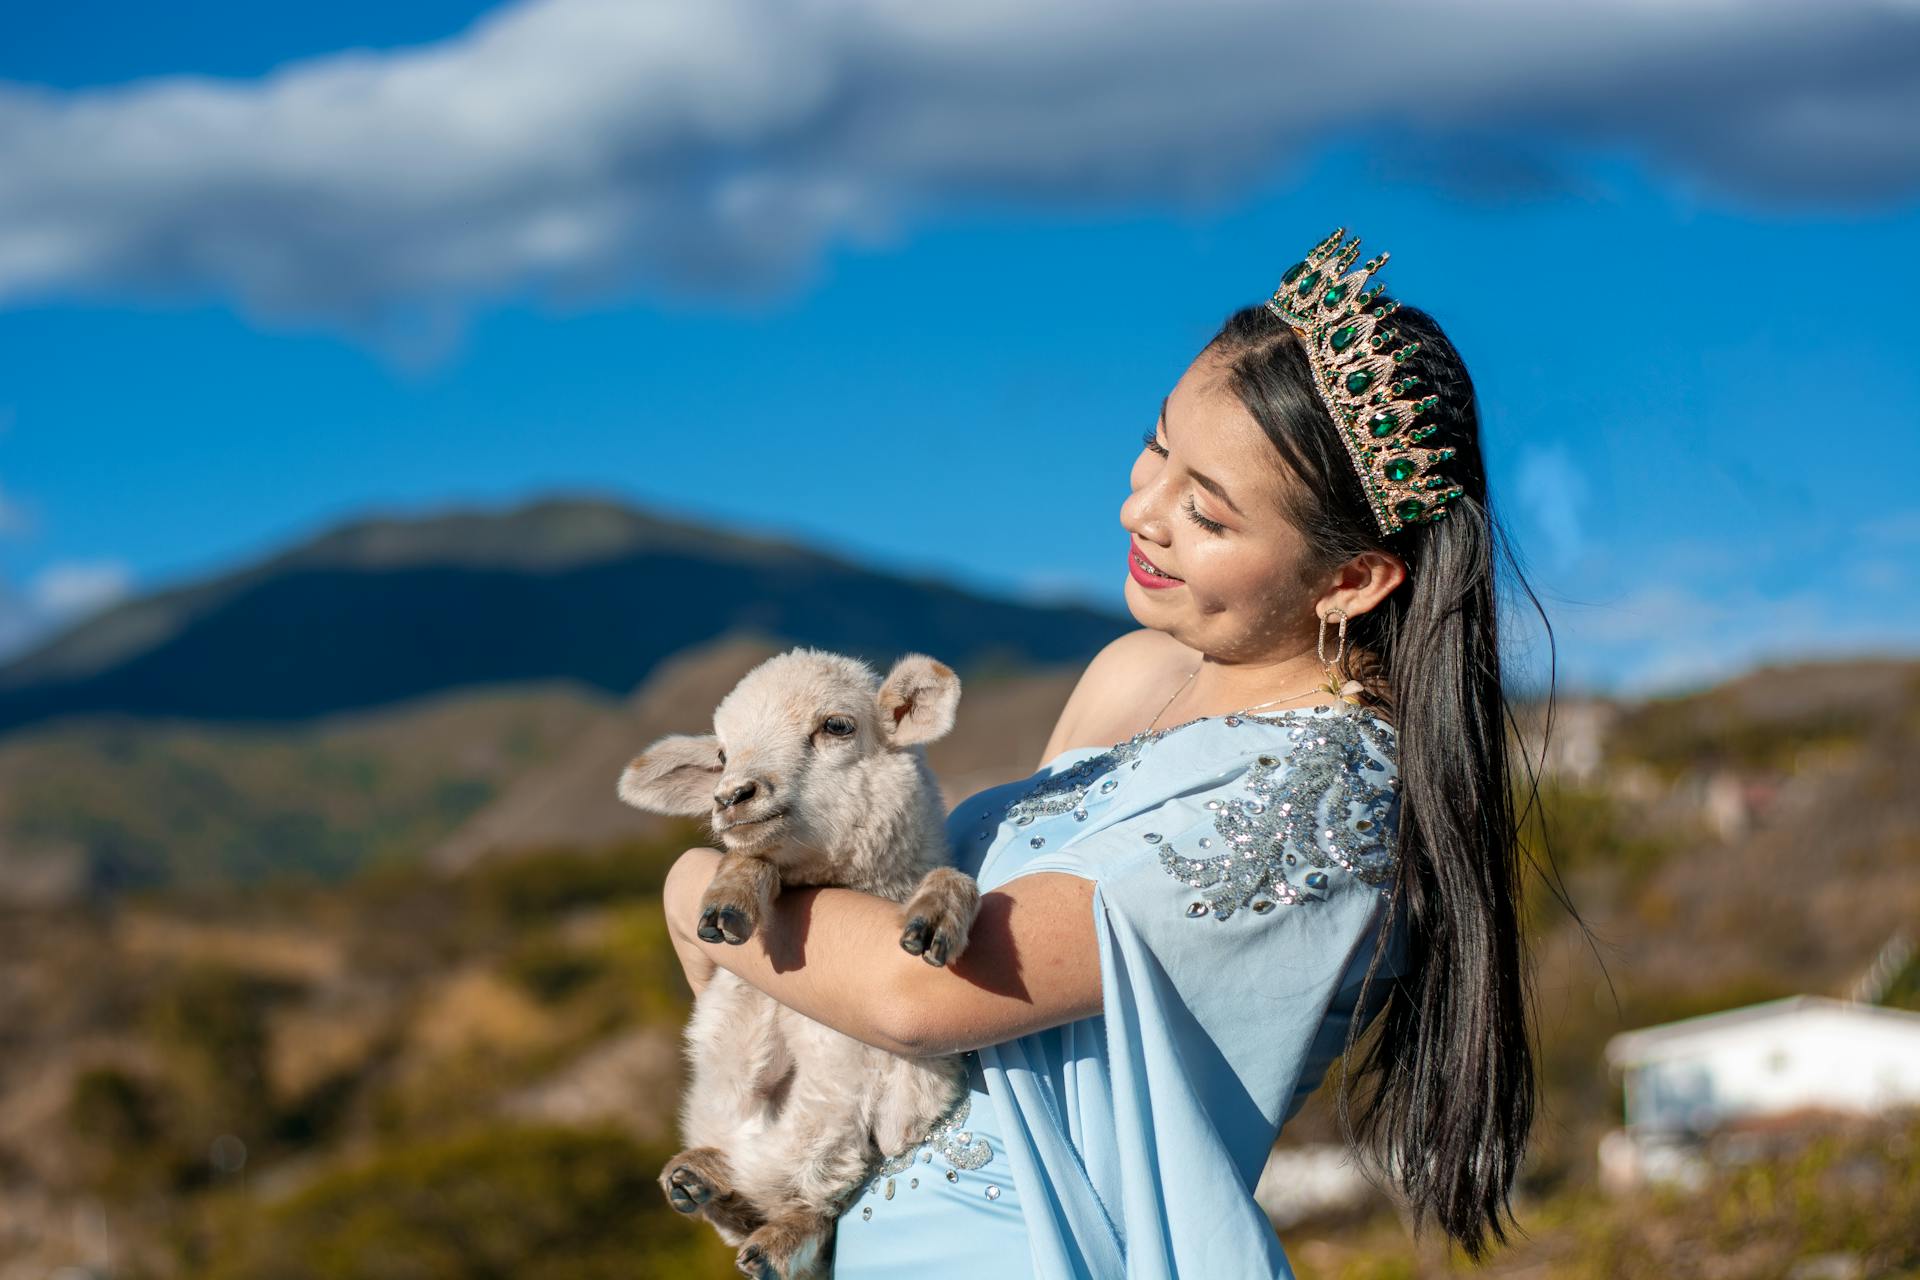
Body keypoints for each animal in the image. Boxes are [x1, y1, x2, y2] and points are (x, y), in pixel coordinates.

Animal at [618, 652, 983, 1280]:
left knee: (816, 1207)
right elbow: (753, 861)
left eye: (837, 726)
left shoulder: (916, 1086)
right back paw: (696, 1179)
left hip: (842, 1146)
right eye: (721, 755)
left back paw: (766, 1236)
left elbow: (953, 880)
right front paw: (728, 902)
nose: (730, 796)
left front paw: (937, 915)